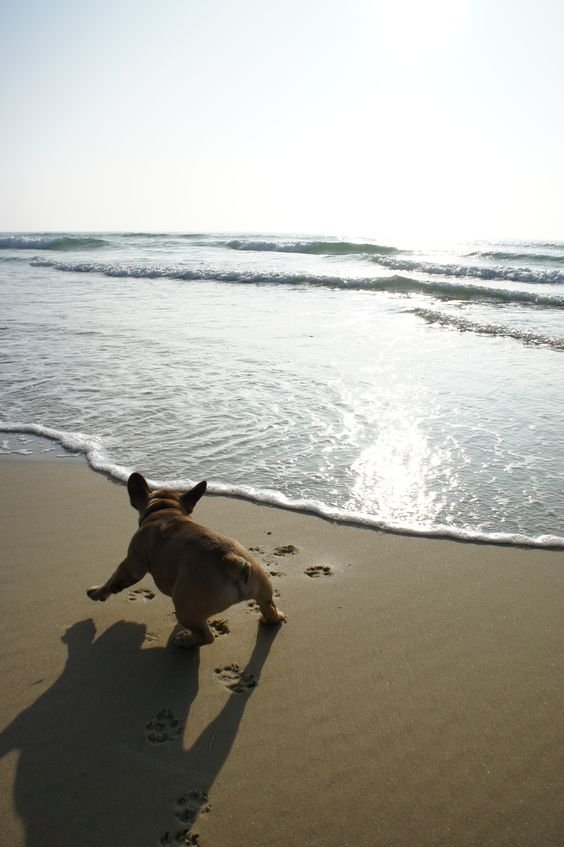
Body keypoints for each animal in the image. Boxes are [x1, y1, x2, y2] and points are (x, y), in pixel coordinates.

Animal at [87, 470, 286, 648]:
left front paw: (97, 592)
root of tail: (231, 561)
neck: (166, 511)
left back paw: (185, 640)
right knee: (269, 610)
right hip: (262, 589)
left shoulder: (133, 563)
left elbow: (114, 578)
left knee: (206, 636)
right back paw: (274, 617)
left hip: (185, 607)